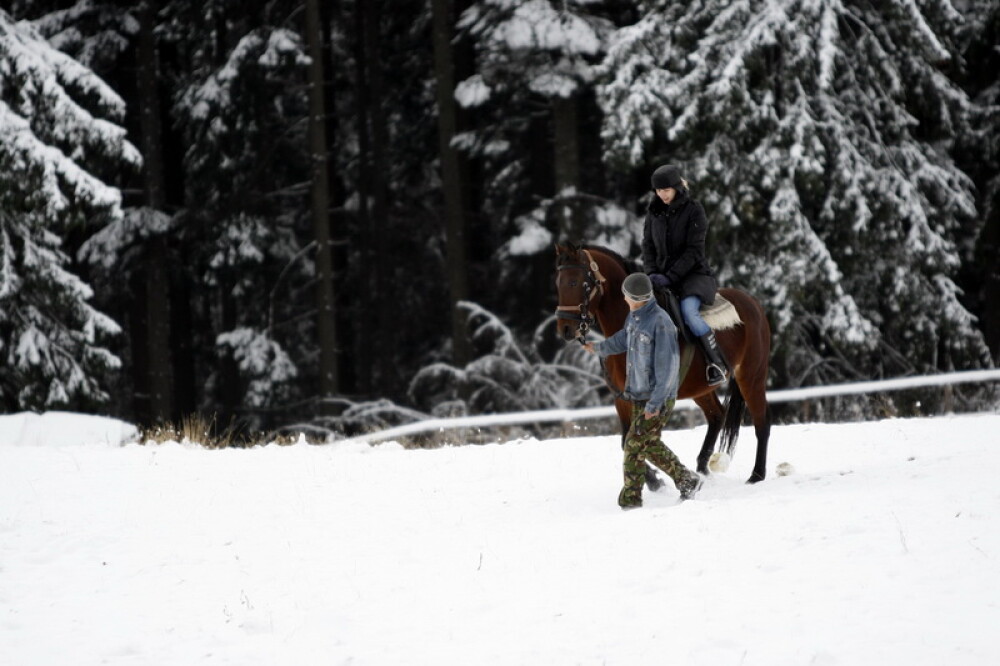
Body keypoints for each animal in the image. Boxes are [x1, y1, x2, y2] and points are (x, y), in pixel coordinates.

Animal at [556, 241, 772, 480]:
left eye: (576, 282)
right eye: (558, 283)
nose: (565, 329)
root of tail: (753, 303)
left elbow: (642, 441)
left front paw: (656, 480)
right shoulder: (622, 399)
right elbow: (628, 440)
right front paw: (654, 480)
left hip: (751, 377)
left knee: (762, 422)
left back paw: (756, 475)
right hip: (701, 388)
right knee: (717, 415)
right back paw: (702, 469)